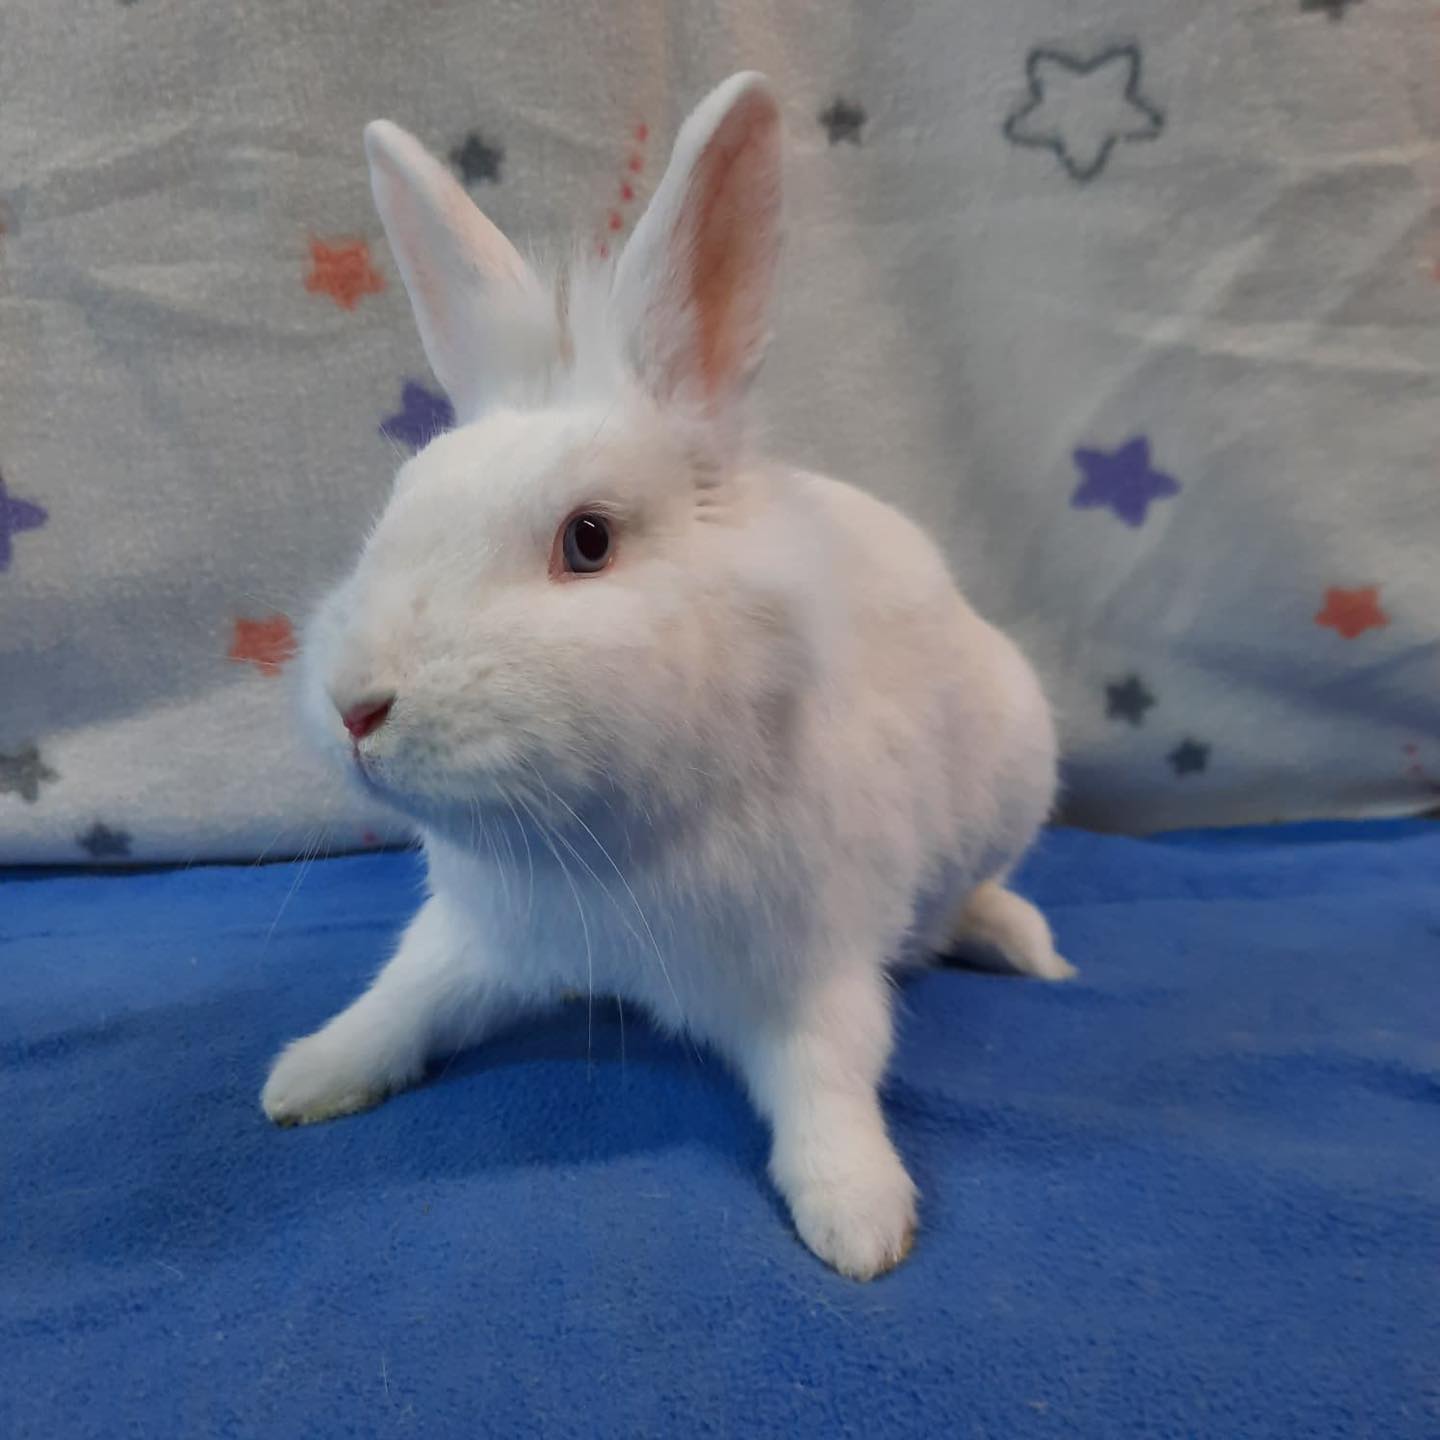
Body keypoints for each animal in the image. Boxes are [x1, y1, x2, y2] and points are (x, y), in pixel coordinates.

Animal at [261, 72, 1073, 1280]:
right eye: (396, 509)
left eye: (588, 540)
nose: (357, 707)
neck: (601, 847)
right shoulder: (474, 938)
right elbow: (403, 999)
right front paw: (307, 1076)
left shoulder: (813, 971)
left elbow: (831, 1081)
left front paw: (859, 1221)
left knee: (974, 894)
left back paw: (1022, 946)